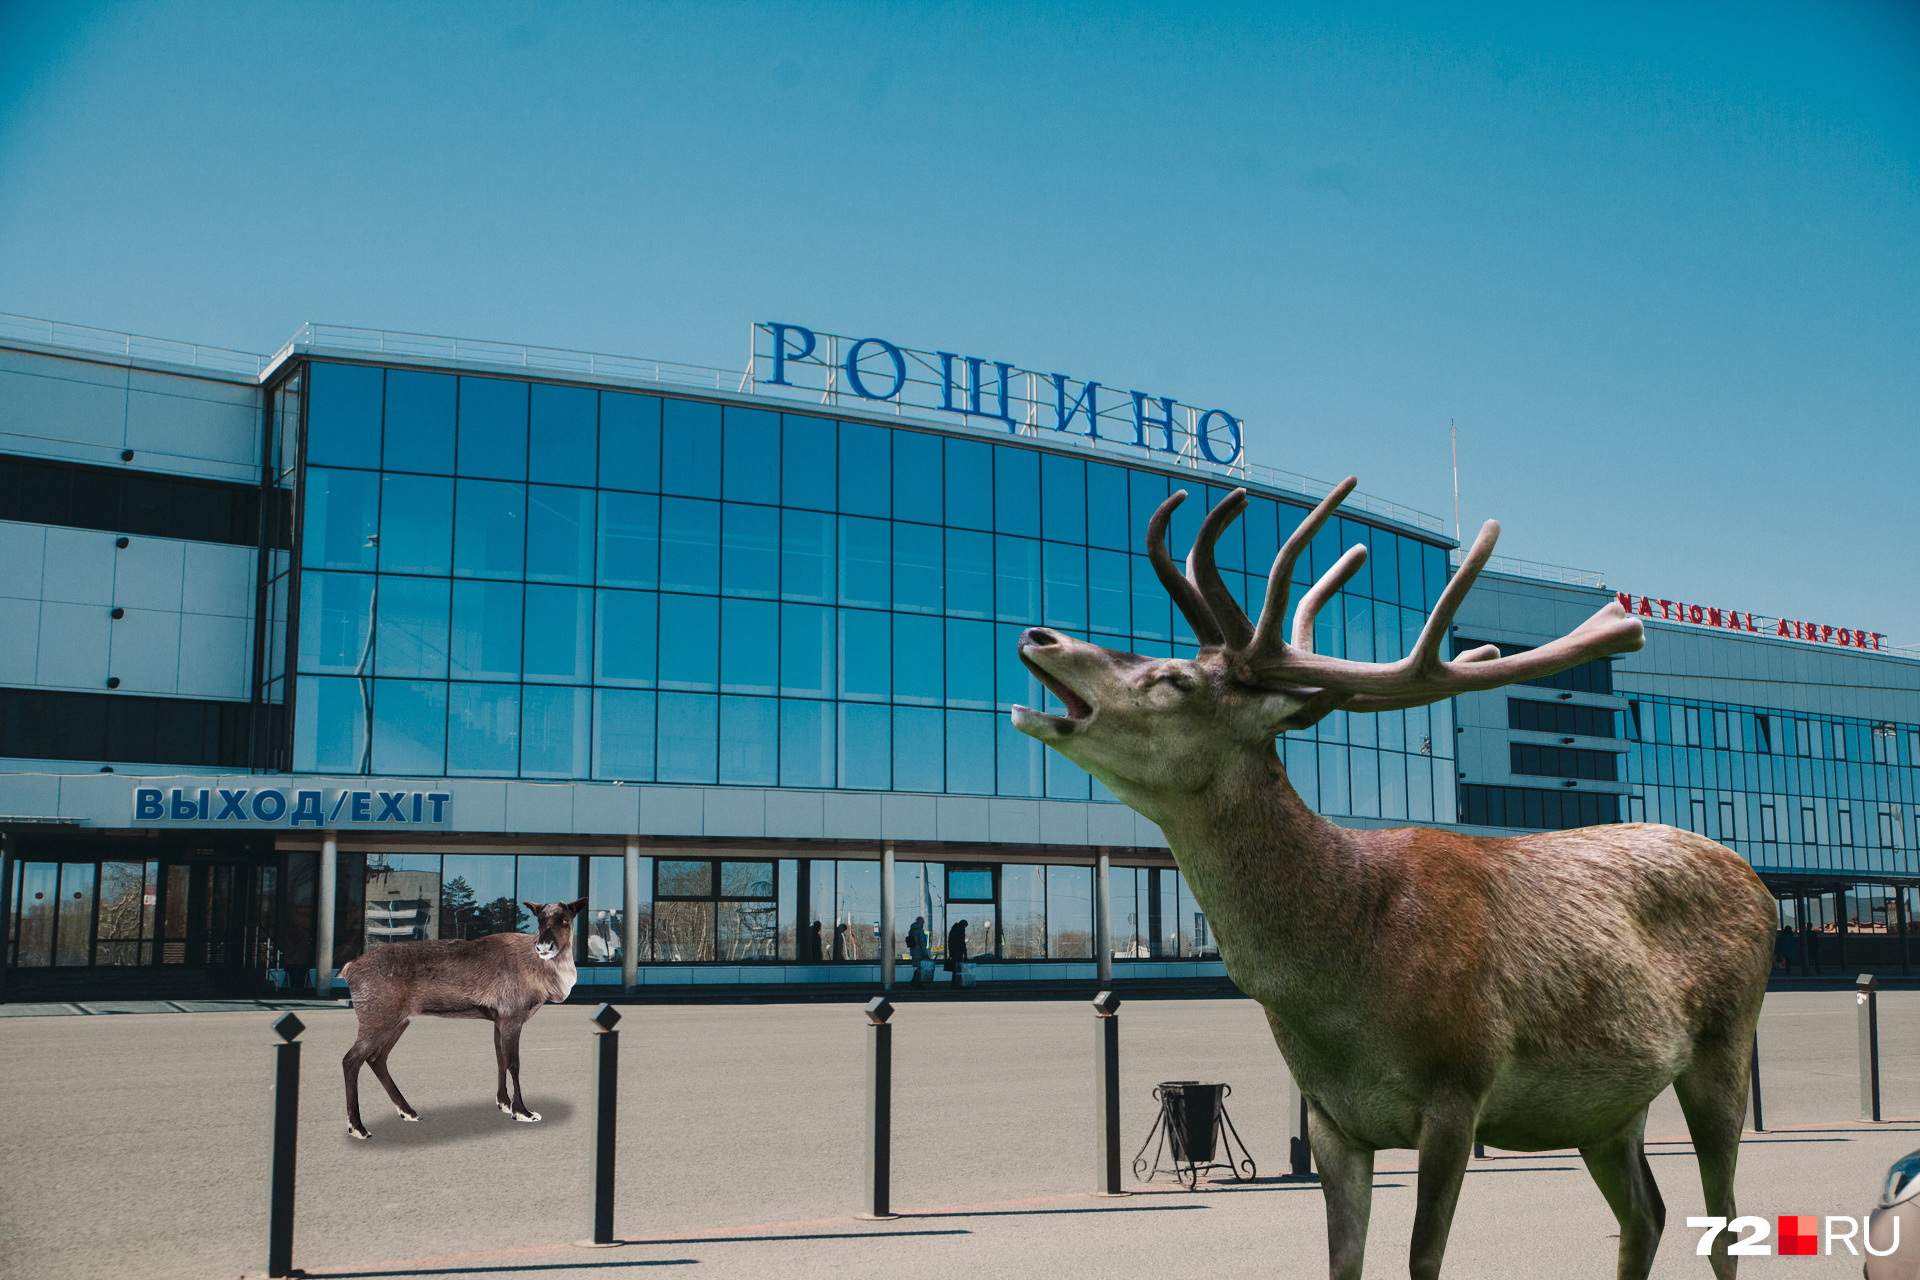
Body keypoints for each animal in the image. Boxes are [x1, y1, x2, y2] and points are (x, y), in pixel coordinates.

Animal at [341, 901, 583, 1143]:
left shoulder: (499, 1019)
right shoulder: (512, 1016)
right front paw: (523, 1111)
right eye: (540, 920)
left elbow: (500, 1059)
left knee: (376, 1058)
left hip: (399, 1020)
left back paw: (408, 1112)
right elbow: (513, 1063)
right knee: (351, 1059)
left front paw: (504, 1103)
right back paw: (358, 1127)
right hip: (377, 1018)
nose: (543, 947)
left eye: (565, 919)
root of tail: (348, 968)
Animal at [1013, 483, 1774, 1280]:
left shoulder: (1458, 1088)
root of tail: (1760, 884)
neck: (1345, 980)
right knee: (1646, 1213)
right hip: (1607, 1105)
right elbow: (1343, 1260)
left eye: (1175, 679)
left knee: (1722, 1220)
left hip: (1725, 1043)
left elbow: (1422, 1258)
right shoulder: (1331, 1117)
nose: (1038, 635)